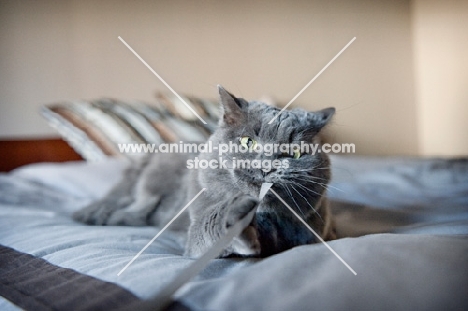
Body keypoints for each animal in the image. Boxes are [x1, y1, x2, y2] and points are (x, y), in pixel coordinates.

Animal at [73, 86, 334, 258]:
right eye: (248, 142)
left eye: (295, 153)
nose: (267, 166)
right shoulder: (196, 226)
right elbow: (207, 225)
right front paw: (234, 216)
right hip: (150, 185)